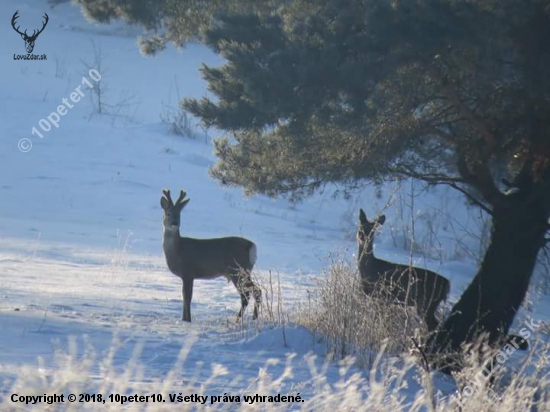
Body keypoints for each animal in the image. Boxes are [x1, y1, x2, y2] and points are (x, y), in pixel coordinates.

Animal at [161, 190, 262, 322]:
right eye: (168, 213)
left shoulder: (188, 271)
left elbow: (187, 297)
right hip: (244, 271)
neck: (178, 250)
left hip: (237, 270)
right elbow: (184, 296)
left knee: (247, 294)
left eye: (179, 214)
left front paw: (188, 320)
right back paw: (254, 317)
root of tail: (252, 246)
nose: (174, 223)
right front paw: (183, 319)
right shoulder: (186, 275)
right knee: (256, 291)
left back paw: (239, 319)